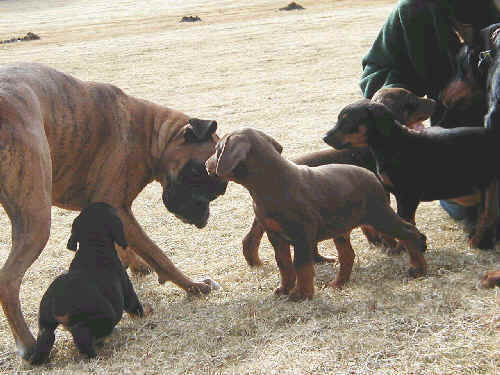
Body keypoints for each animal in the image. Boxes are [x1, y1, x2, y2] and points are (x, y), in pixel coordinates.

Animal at [29, 204, 146, 366]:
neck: (93, 247)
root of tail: (59, 301)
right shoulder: (126, 286)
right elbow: (134, 304)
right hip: (104, 316)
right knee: (81, 334)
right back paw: (96, 354)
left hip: (45, 322)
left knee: (46, 337)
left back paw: (36, 361)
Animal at [205, 128, 428, 302]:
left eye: (217, 150)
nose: (206, 164)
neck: (272, 184)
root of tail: (372, 176)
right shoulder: (275, 235)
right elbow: (284, 264)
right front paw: (284, 289)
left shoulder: (302, 233)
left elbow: (301, 265)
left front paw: (301, 294)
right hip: (341, 227)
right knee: (348, 255)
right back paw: (338, 283)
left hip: (379, 216)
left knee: (409, 232)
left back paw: (418, 268)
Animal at [322, 99, 500, 250]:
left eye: (348, 121)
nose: (324, 137)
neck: (392, 144)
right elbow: (406, 222)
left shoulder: (407, 195)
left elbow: (406, 221)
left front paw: (405, 247)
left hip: (489, 186)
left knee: (487, 215)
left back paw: (477, 242)